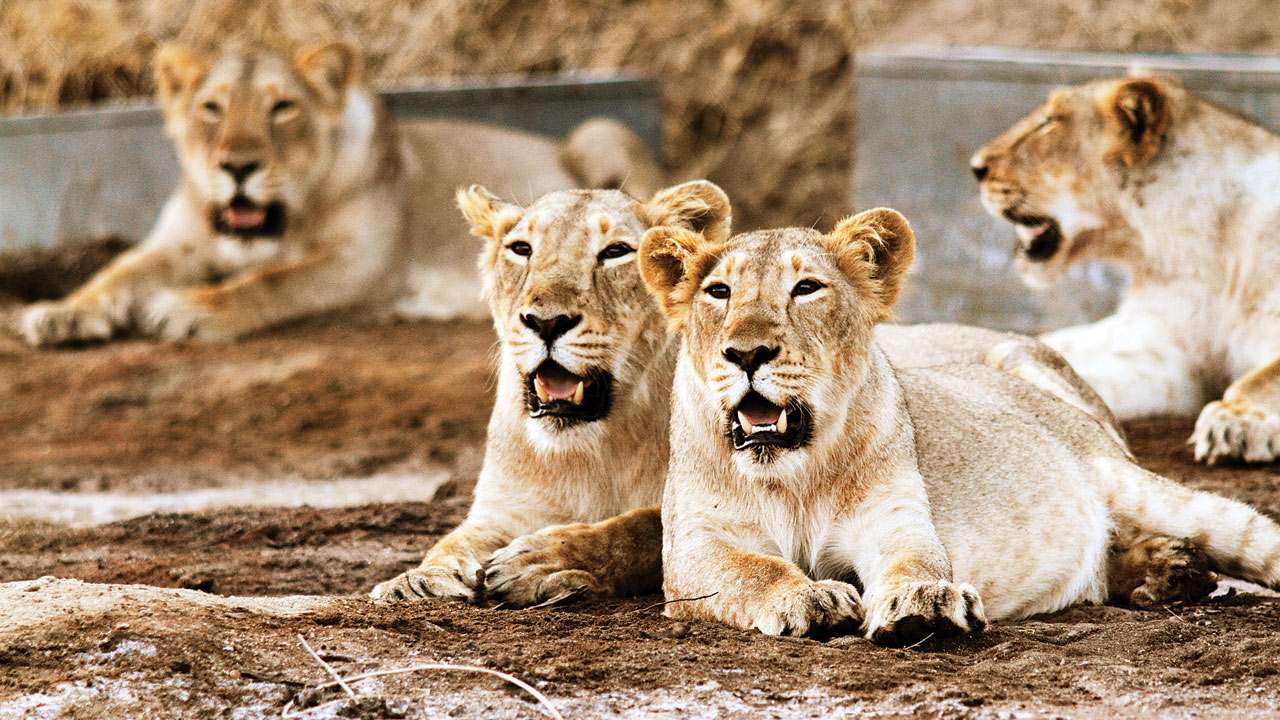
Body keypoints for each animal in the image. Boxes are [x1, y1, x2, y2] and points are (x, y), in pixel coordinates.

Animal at [15, 41, 662, 346]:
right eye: (212, 108)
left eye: (282, 107)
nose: (238, 167)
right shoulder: (178, 244)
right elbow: (118, 272)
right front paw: (61, 314)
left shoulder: (366, 262)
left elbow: (274, 280)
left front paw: (191, 310)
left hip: (601, 128)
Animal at [637, 207, 1280, 645]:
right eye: (719, 291)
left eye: (807, 287)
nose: (745, 353)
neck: (797, 474)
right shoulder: (694, 547)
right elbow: (755, 569)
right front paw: (811, 597)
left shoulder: (895, 516)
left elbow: (914, 559)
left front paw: (922, 603)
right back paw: (1167, 572)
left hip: (1137, 485)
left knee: (1244, 532)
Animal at [971, 74, 1280, 465]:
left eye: (1050, 122)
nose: (975, 168)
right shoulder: (1167, 349)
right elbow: (1069, 354)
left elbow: (1266, 376)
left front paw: (1235, 420)